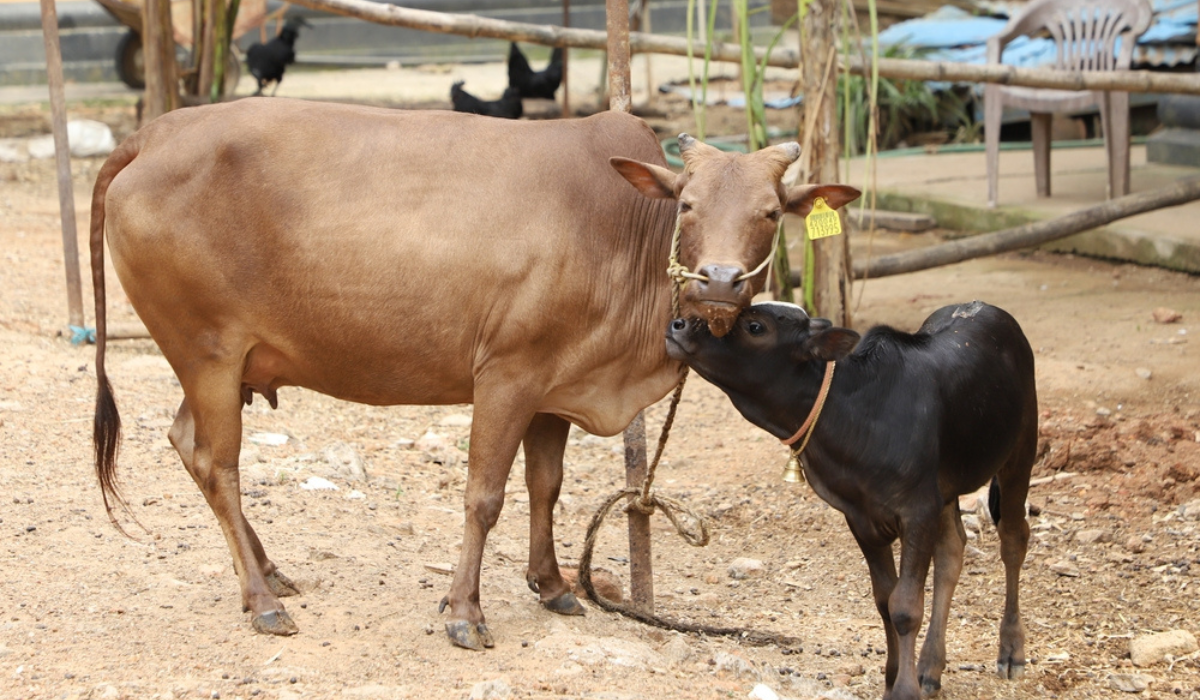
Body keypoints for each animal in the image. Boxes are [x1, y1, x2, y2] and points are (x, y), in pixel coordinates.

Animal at [91, 98, 864, 653]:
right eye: (688, 204)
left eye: (771, 212)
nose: (721, 282)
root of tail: (156, 131)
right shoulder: (507, 374)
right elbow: (485, 496)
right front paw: (465, 611)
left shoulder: (555, 387)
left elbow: (546, 487)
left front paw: (553, 585)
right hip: (209, 354)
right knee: (218, 463)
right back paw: (262, 599)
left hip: (226, 365)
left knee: (186, 444)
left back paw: (270, 569)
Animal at [667, 300, 1041, 700]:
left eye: (755, 326)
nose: (678, 324)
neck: (856, 416)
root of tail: (984, 308)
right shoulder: (862, 516)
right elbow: (884, 599)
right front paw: (893, 678)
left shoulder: (917, 511)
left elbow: (905, 605)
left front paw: (904, 690)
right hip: (947, 488)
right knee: (953, 550)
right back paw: (929, 666)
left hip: (1021, 451)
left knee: (1014, 539)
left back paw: (1011, 650)